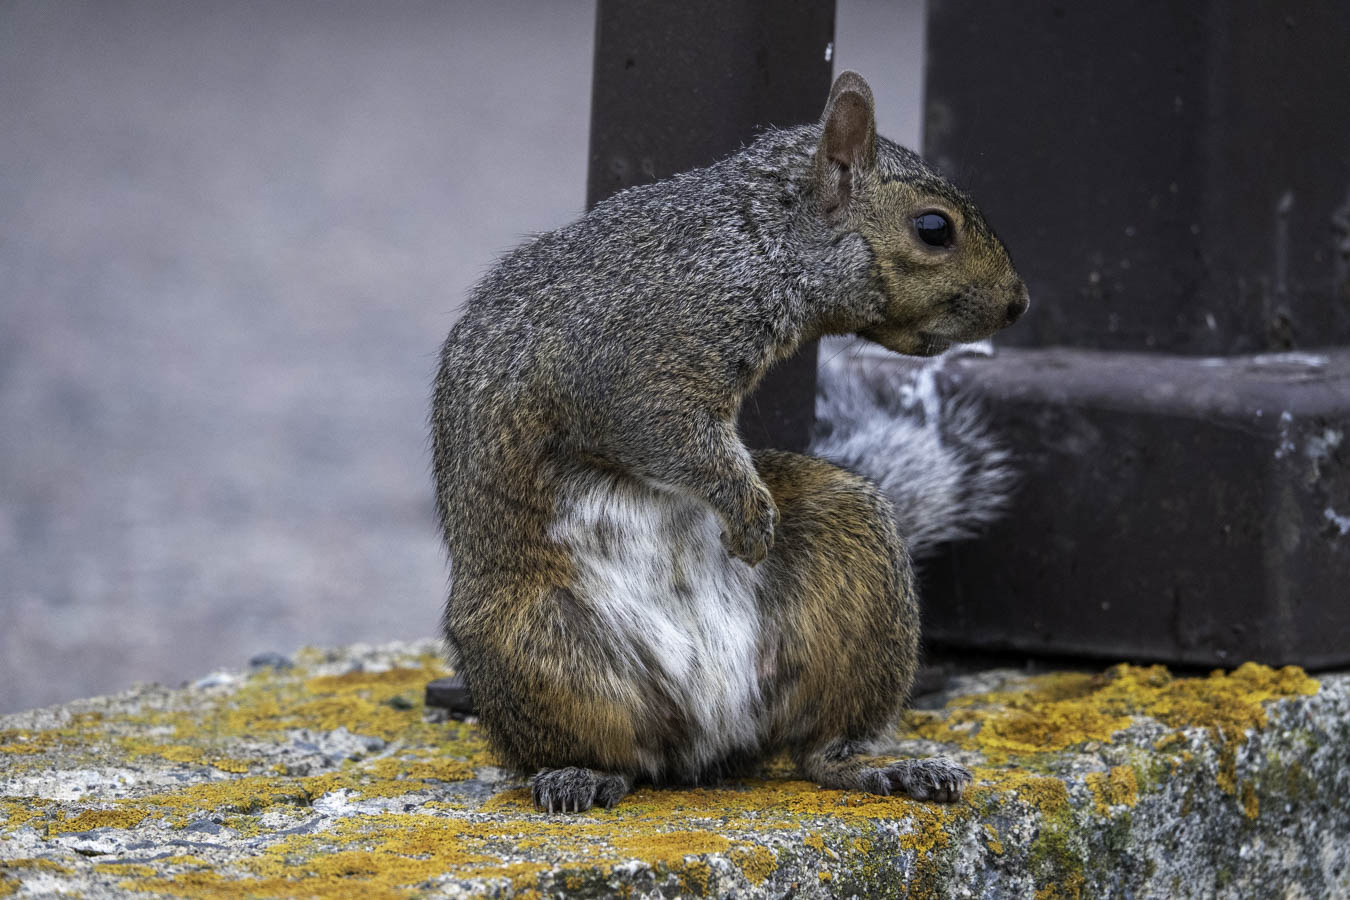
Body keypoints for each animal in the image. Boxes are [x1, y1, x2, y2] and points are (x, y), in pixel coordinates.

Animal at [431, 71, 1028, 813]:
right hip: (531, 639)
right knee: (613, 753)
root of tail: (709, 739)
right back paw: (579, 774)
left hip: (853, 558)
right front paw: (747, 509)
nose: (1018, 304)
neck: (751, 245)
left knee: (818, 746)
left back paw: (884, 770)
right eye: (934, 228)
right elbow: (668, 436)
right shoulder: (632, 369)